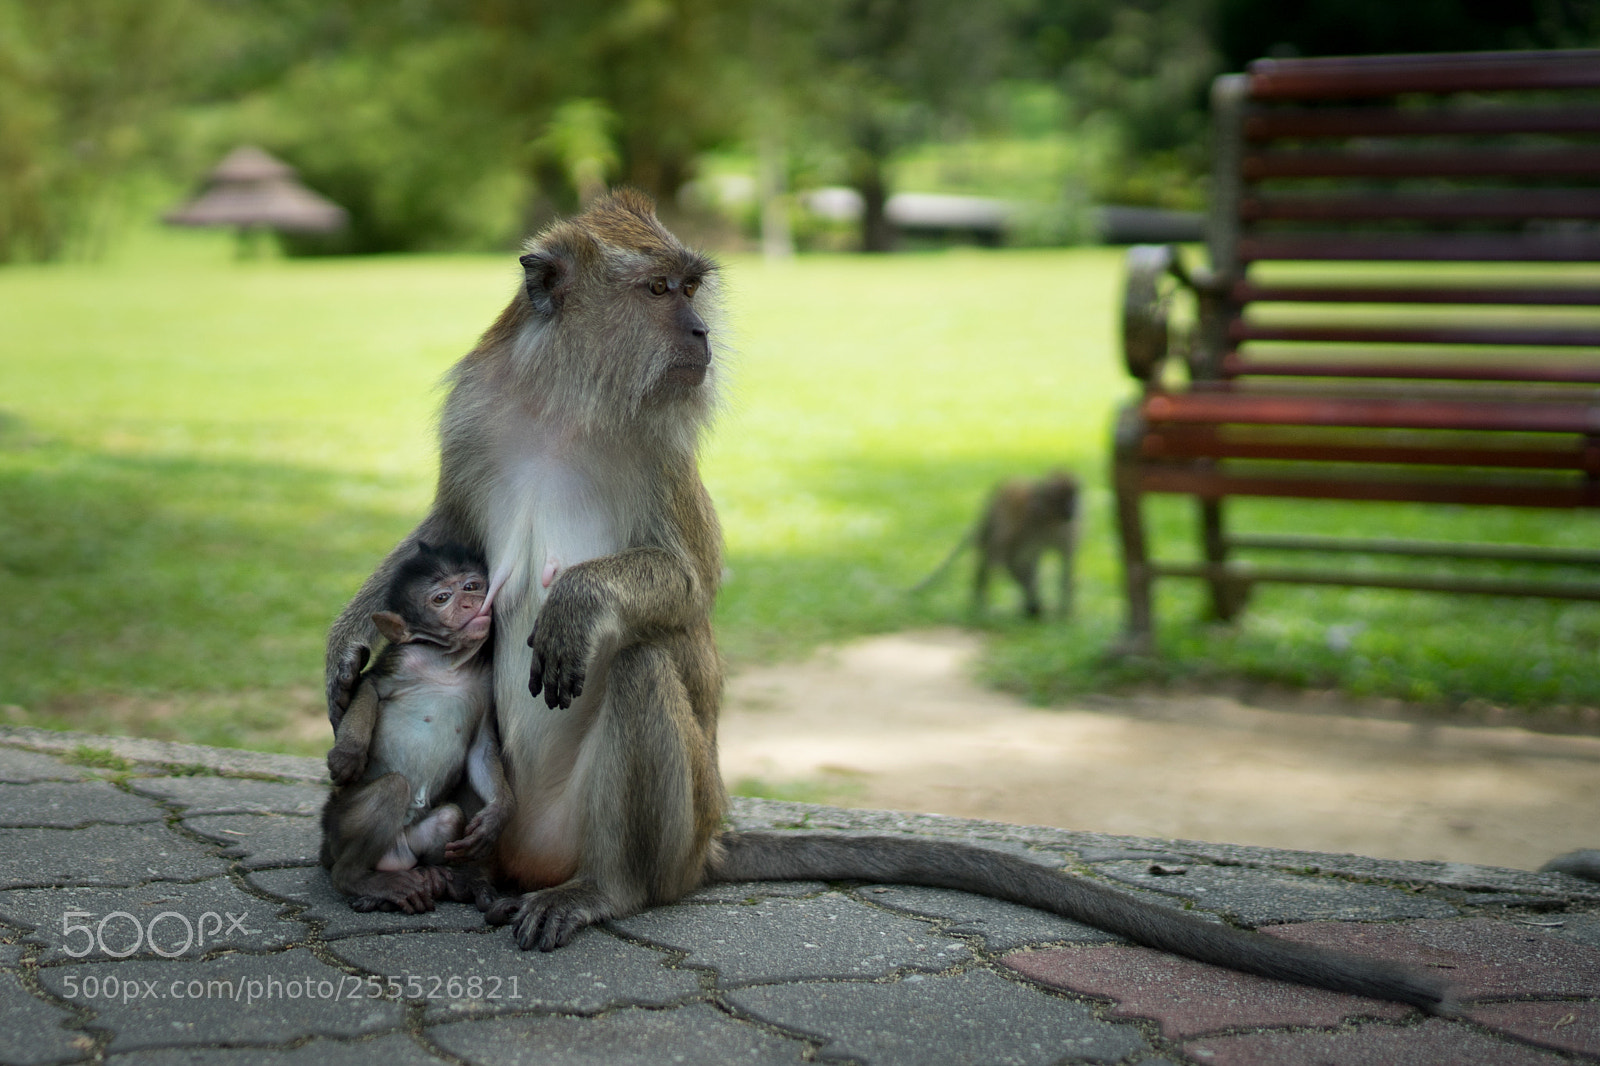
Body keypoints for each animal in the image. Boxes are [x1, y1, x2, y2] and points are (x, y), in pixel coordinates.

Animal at [320, 542, 507, 913]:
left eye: (472, 585)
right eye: (441, 598)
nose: (471, 602)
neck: (448, 663)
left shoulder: (485, 685)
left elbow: (482, 748)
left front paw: (498, 812)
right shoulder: (401, 662)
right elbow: (369, 688)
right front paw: (348, 754)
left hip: (416, 839)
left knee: (449, 817)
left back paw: (437, 877)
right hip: (342, 827)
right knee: (392, 788)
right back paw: (360, 881)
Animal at [911, 471, 1080, 619]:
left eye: (1075, 496)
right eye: (1067, 499)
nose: (1074, 507)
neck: (1051, 520)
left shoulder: (1067, 532)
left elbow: (1065, 567)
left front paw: (1063, 614)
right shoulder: (1025, 525)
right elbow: (1010, 559)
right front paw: (1034, 606)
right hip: (994, 524)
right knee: (993, 557)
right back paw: (982, 605)